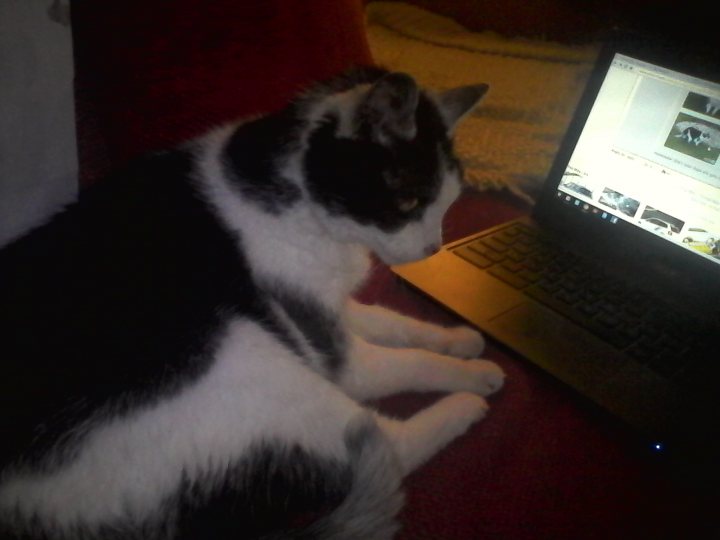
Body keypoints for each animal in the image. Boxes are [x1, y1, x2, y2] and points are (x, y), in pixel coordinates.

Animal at [0, 67, 504, 540]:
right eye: (408, 201)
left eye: (448, 203)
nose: (431, 250)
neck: (299, 202)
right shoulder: (333, 352)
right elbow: (408, 362)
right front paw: (471, 372)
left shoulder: (315, 305)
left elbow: (391, 320)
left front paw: (458, 339)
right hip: (248, 354)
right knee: (385, 445)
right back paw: (464, 406)